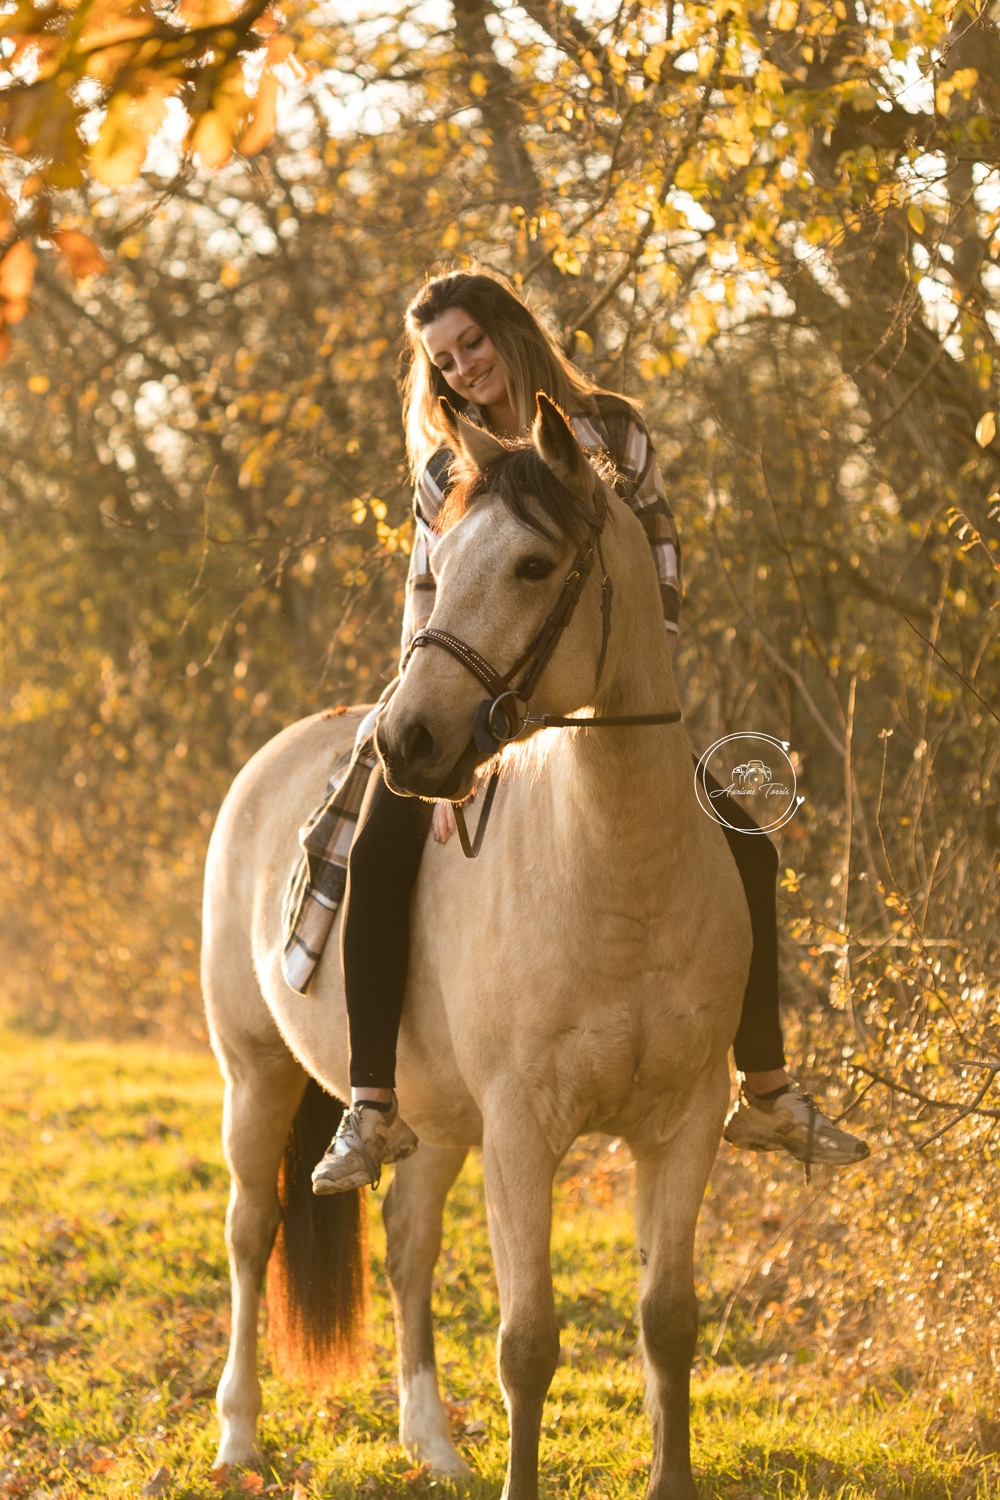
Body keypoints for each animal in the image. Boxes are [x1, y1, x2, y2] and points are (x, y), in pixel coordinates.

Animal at [203, 396, 749, 1500]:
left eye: (535, 566)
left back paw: (433, 1443)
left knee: (407, 1249)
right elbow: (527, 1344)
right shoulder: (523, 1130)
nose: (405, 743)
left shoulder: (684, 1124)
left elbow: (667, 1322)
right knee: (250, 1235)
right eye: (441, 560)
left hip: (432, 1119)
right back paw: (239, 1438)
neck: (618, 878)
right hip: (257, 1073)